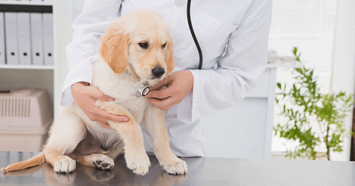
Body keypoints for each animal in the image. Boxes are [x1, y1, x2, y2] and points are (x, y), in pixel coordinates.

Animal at [2, 9, 189, 176]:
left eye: (164, 45)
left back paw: (99, 160)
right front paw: (138, 159)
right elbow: (132, 126)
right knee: (50, 151)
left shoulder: (153, 109)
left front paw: (171, 161)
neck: (134, 80)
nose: (160, 72)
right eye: (143, 44)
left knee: (78, 155)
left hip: (116, 145)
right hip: (75, 126)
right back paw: (63, 161)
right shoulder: (105, 102)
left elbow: (161, 138)